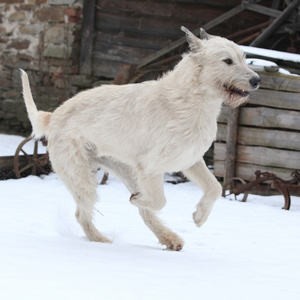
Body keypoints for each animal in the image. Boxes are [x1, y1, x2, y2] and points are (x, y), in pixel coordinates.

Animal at [21, 27, 260, 250]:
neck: (193, 99)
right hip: (82, 176)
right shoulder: (151, 166)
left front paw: (200, 215)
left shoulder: (190, 161)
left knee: (143, 213)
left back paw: (168, 238)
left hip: (127, 171)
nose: (257, 80)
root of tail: (52, 116)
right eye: (227, 61)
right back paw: (100, 239)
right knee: (84, 214)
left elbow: (214, 187)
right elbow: (159, 200)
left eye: (243, 58)